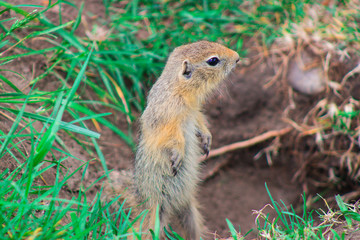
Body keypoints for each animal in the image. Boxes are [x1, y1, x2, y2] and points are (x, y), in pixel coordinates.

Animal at [104, 40, 239, 239]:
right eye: (213, 61)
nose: (237, 57)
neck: (177, 87)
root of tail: (141, 198)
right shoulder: (167, 117)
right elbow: (172, 137)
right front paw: (178, 155)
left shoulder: (194, 112)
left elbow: (200, 121)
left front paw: (207, 139)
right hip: (154, 215)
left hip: (190, 210)